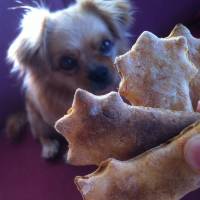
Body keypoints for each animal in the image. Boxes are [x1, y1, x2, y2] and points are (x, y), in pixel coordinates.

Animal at [7, 0, 133, 159]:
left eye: (106, 44)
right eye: (67, 62)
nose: (99, 73)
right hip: (36, 120)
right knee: (41, 135)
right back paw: (49, 147)